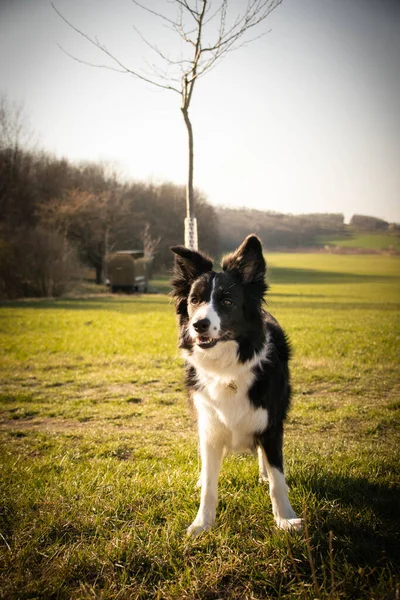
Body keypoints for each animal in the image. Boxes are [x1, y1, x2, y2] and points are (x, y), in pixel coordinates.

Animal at [170, 233, 302, 536]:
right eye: (194, 300)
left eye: (227, 301)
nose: (198, 324)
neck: (227, 367)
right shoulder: (209, 425)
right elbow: (209, 485)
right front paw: (202, 523)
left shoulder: (271, 425)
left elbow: (278, 479)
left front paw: (285, 519)